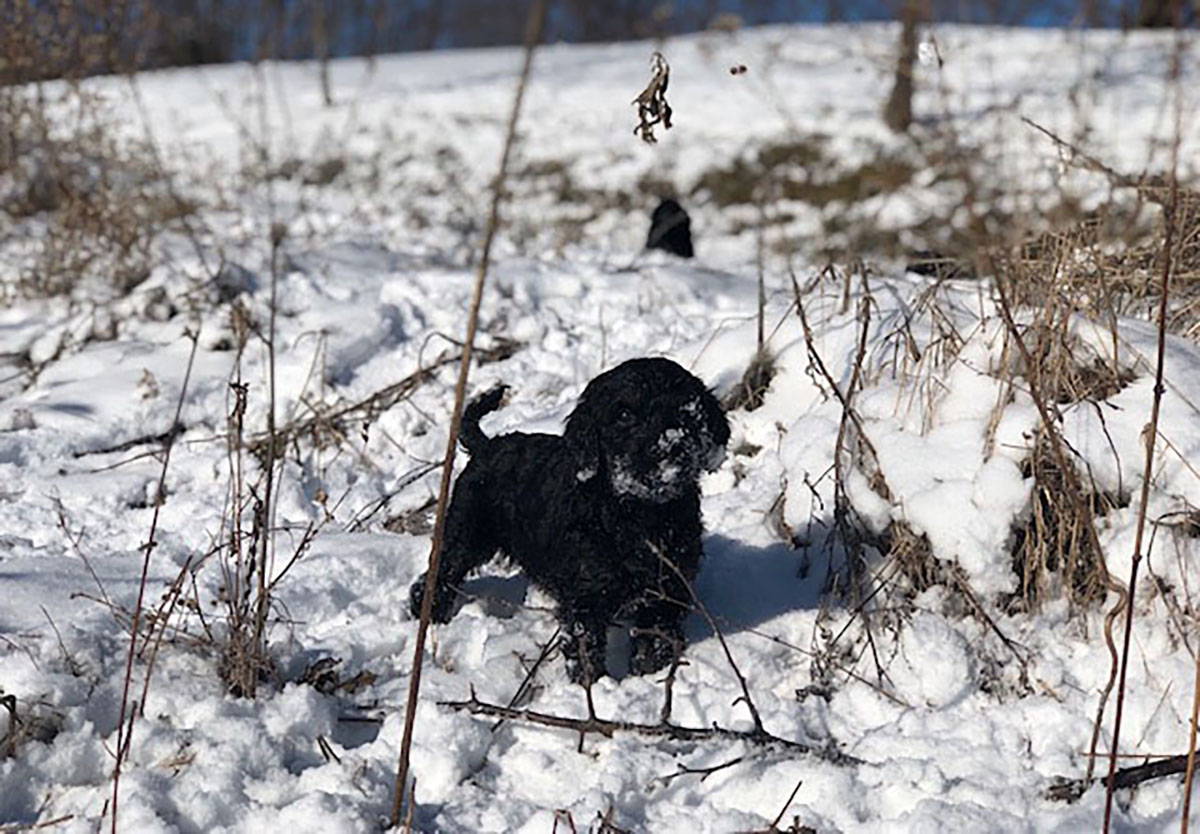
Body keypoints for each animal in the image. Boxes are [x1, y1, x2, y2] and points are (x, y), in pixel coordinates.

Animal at [410, 360, 729, 686]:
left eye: (686, 409)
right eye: (624, 415)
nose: (671, 444)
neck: (638, 511)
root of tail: (486, 446)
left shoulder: (667, 592)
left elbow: (655, 641)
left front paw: (648, 677)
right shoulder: (585, 600)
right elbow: (585, 648)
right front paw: (593, 686)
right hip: (467, 530)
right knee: (442, 569)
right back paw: (429, 612)